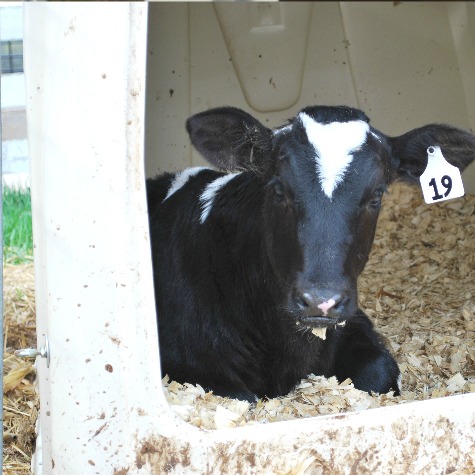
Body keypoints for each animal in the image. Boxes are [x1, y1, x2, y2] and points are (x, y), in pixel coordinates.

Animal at [147, 106, 474, 404]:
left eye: (377, 195)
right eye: (278, 188)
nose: (321, 301)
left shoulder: (354, 322)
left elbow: (380, 373)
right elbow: (242, 398)